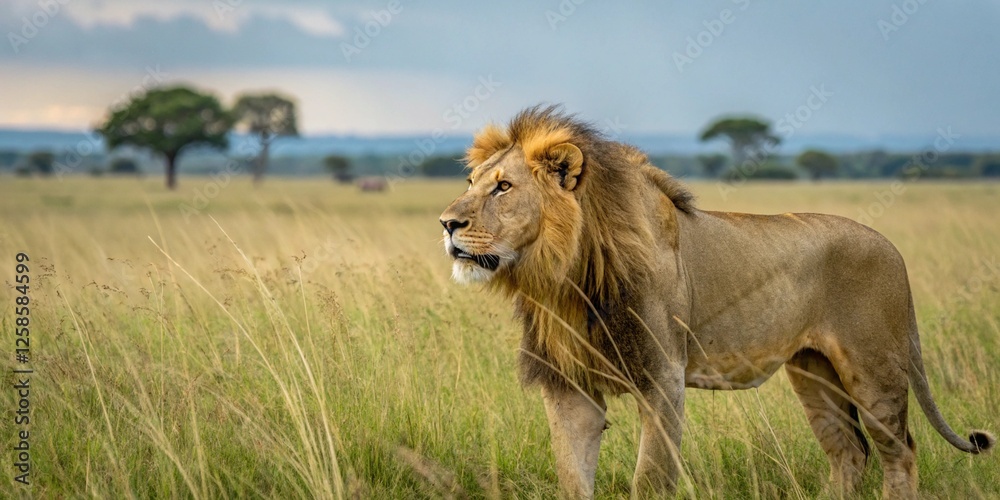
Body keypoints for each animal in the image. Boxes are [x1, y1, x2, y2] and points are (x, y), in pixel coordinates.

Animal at [438, 105, 994, 499]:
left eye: (503, 187)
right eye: (470, 183)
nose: (447, 223)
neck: (567, 276)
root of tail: (891, 246)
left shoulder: (662, 378)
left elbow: (650, 479)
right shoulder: (568, 383)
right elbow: (572, 477)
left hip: (873, 366)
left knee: (900, 453)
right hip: (814, 372)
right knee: (848, 452)